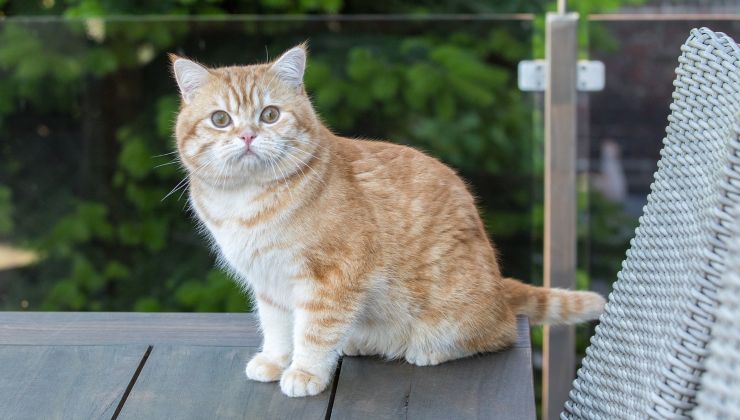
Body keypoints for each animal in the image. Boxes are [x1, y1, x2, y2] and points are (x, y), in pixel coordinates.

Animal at [171, 45, 604, 398]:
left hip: (460, 315)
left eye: (270, 114)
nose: (247, 135)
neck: (246, 202)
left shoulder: (332, 277)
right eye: (221, 119)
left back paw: (428, 351)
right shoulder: (269, 283)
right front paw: (276, 360)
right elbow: (277, 327)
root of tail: (500, 284)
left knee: (500, 333)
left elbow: (314, 330)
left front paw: (305, 372)